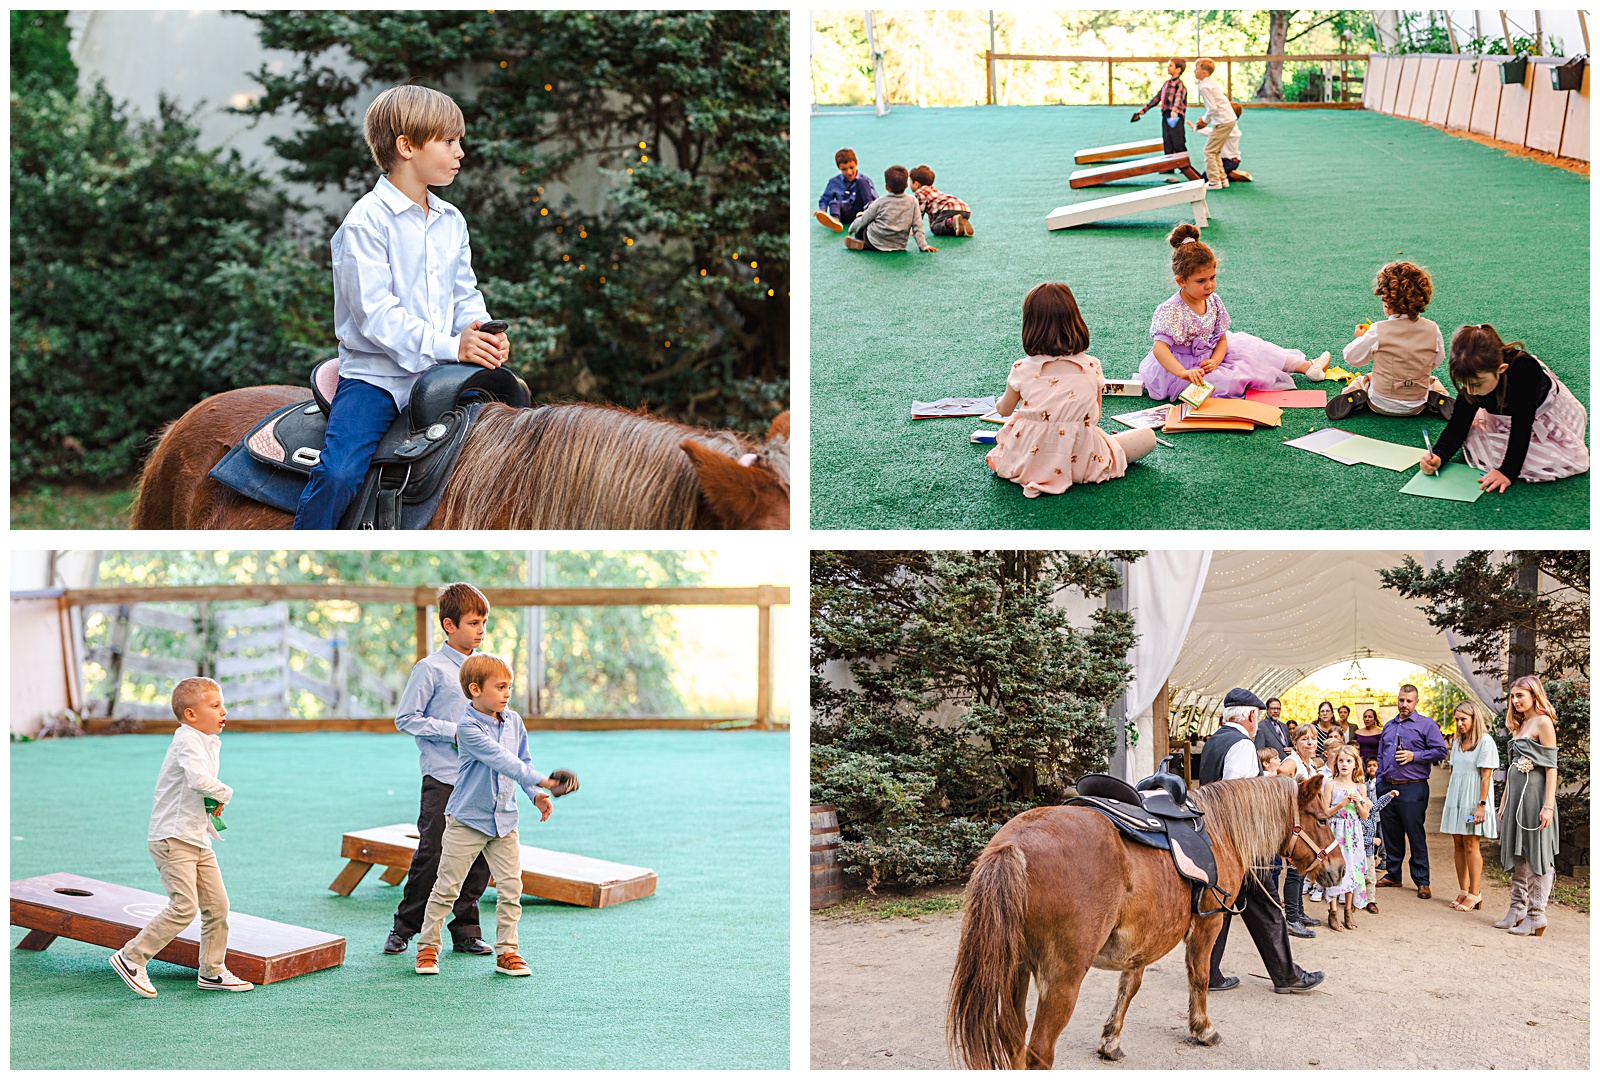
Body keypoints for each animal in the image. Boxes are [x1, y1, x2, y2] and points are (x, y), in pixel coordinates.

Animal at [947, 774, 1337, 1068]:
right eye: (1321, 819)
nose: (1338, 868)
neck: (1219, 829)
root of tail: (1013, 845)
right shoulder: (1207, 925)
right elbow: (1199, 976)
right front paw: (1203, 1029)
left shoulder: (1142, 940)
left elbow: (1129, 986)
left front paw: (1111, 1039)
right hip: (1061, 977)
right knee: (1038, 1051)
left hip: (1016, 968)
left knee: (1013, 1038)